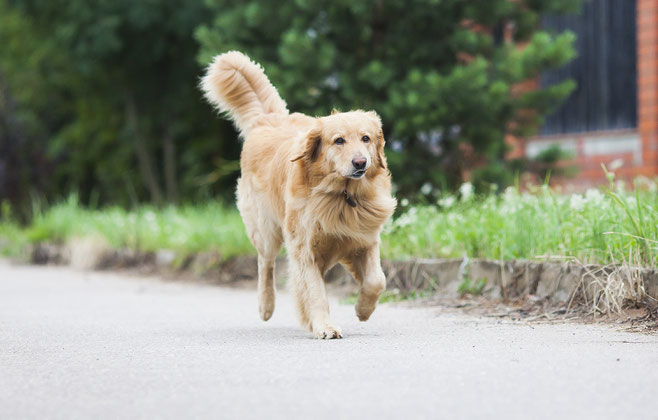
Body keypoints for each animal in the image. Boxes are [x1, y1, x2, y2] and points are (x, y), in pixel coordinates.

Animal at [201, 50, 394, 338]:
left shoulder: (365, 240)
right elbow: (315, 292)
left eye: (366, 138)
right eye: (339, 140)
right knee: (265, 263)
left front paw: (363, 310)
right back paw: (266, 306)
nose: (361, 162)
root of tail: (268, 119)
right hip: (265, 230)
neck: (339, 196)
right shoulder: (304, 249)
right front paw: (324, 326)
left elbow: (376, 280)